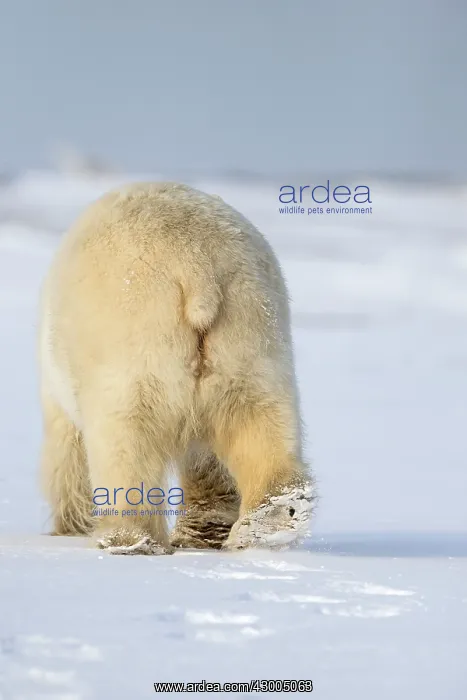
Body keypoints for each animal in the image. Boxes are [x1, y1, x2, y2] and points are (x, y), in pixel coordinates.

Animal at [38, 182, 315, 554]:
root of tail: (196, 266)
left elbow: (66, 449)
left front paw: (69, 527)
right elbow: (207, 461)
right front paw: (203, 532)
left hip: (134, 341)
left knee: (125, 439)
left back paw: (129, 539)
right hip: (252, 333)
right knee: (257, 420)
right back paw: (269, 521)